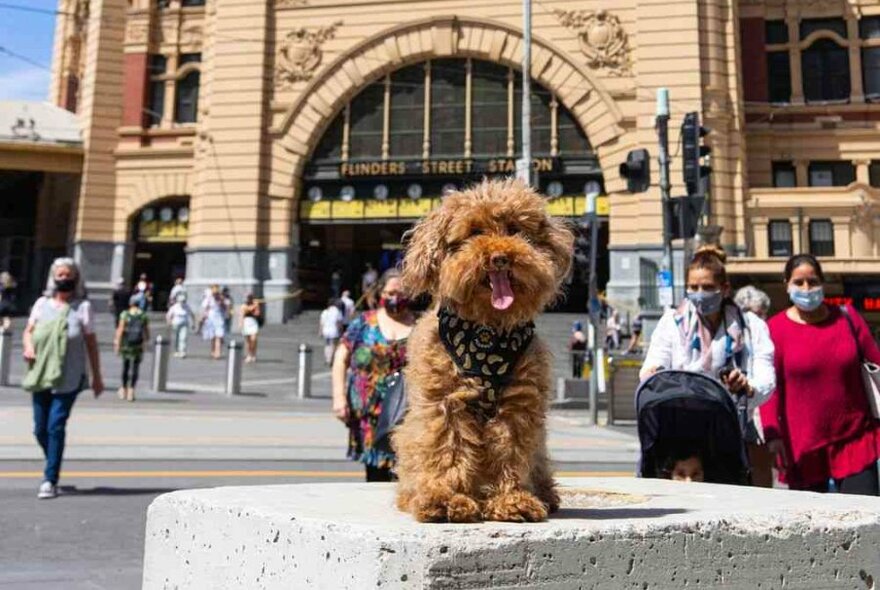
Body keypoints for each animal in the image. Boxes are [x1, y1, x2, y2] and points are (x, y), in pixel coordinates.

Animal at [394, 178, 576, 524]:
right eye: (475, 232)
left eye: (515, 230)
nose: (501, 257)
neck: (486, 330)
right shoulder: (445, 402)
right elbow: (447, 448)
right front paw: (446, 499)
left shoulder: (518, 404)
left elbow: (510, 451)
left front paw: (511, 500)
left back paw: (544, 496)